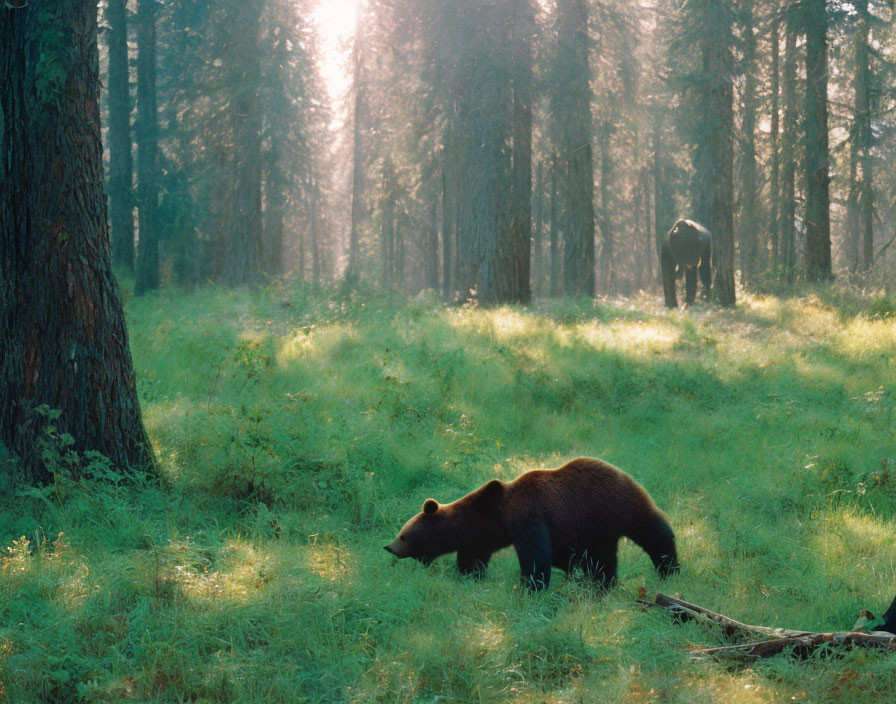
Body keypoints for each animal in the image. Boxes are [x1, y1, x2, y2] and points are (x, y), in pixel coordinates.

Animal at [384, 456, 680, 588]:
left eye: (403, 534)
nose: (389, 547)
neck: (495, 516)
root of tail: (623, 471)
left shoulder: (527, 516)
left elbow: (535, 555)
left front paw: (532, 586)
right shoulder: (480, 537)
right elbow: (472, 561)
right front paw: (468, 577)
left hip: (614, 505)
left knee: (655, 533)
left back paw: (669, 568)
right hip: (598, 530)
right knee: (602, 560)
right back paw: (601, 584)